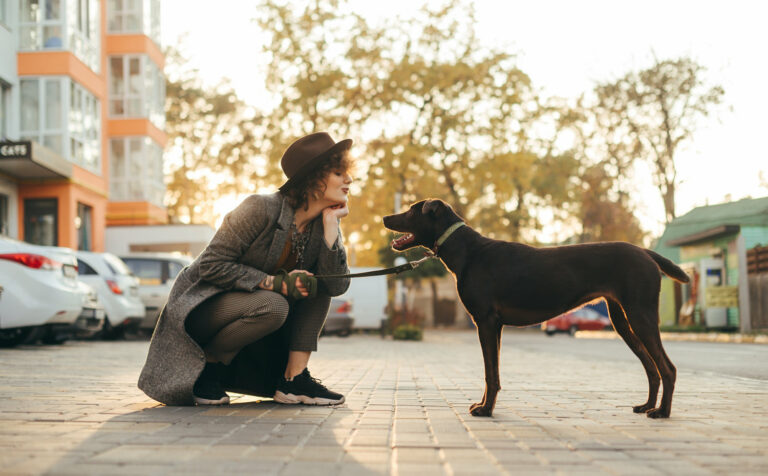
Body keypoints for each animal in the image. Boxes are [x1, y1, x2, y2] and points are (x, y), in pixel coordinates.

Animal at [384, 199, 688, 418]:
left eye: (411, 210)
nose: (385, 218)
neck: (466, 252)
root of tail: (646, 252)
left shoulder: (485, 322)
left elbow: (490, 373)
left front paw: (486, 410)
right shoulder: (495, 326)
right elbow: (492, 373)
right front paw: (484, 405)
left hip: (640, 315)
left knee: (668, 368)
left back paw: (662, 412)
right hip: (622, 320)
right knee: (652, 368)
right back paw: (647, 406)